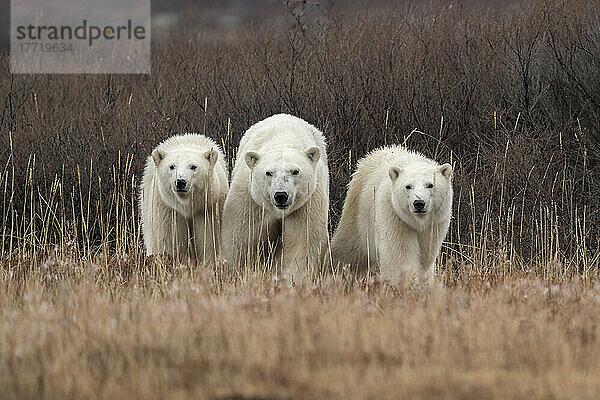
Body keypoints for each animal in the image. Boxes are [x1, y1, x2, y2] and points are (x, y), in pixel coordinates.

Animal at [139, 133, 229, 264]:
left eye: (193, 166)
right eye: (171, 166)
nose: (180, 182)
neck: (186, 204)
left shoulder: (208, 207)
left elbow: (209, 238)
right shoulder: (168, 209)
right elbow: (168, 239)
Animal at [223, 112, 330, 282]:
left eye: (295, 171)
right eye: (268, 172)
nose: (281, 196)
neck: (284, 138)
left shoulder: (306, 203)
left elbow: (302, 241)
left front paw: (292, 280)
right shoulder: (251, 199)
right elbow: (240, 236)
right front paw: (239, 273)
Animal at [330, 145, 452, 282]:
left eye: (430, 185)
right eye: (408, 186)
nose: (419, 203)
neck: (418, 221)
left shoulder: (435, 223)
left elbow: (426, 252)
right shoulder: (394, 214)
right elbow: (400, 254)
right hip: (357, 213)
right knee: (348, 248)